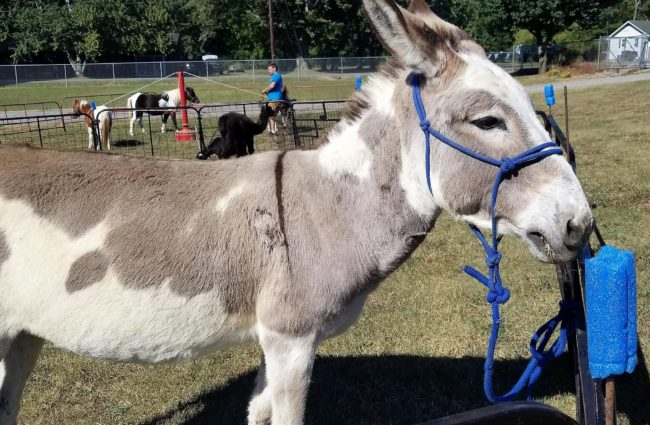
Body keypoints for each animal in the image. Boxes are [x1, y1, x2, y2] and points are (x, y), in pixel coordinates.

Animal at [0, 1, 593, 424]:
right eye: (488, 121)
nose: (579, 224)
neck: (327, 208)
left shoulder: (276, 344)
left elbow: (256, 414)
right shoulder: (291, 341)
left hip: (21, 335)